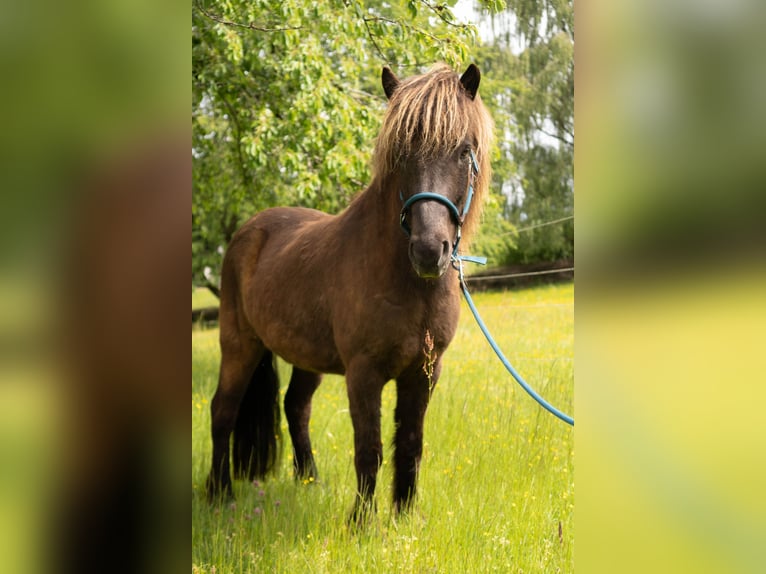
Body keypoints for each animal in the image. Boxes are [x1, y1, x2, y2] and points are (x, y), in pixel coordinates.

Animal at [206, 63, 494, 522]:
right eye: (399, 154)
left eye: (464, 151)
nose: (429, 250)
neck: (408, 285)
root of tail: (249, 230)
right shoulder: (364, 372)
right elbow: (369, 448)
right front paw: (360, 522)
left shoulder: (424, 372)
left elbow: (410, 444)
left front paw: (404, 516)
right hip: (239, 346)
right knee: (223, 411)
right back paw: (220, 494)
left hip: (305, 357)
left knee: (295, 407)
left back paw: (309, 481)